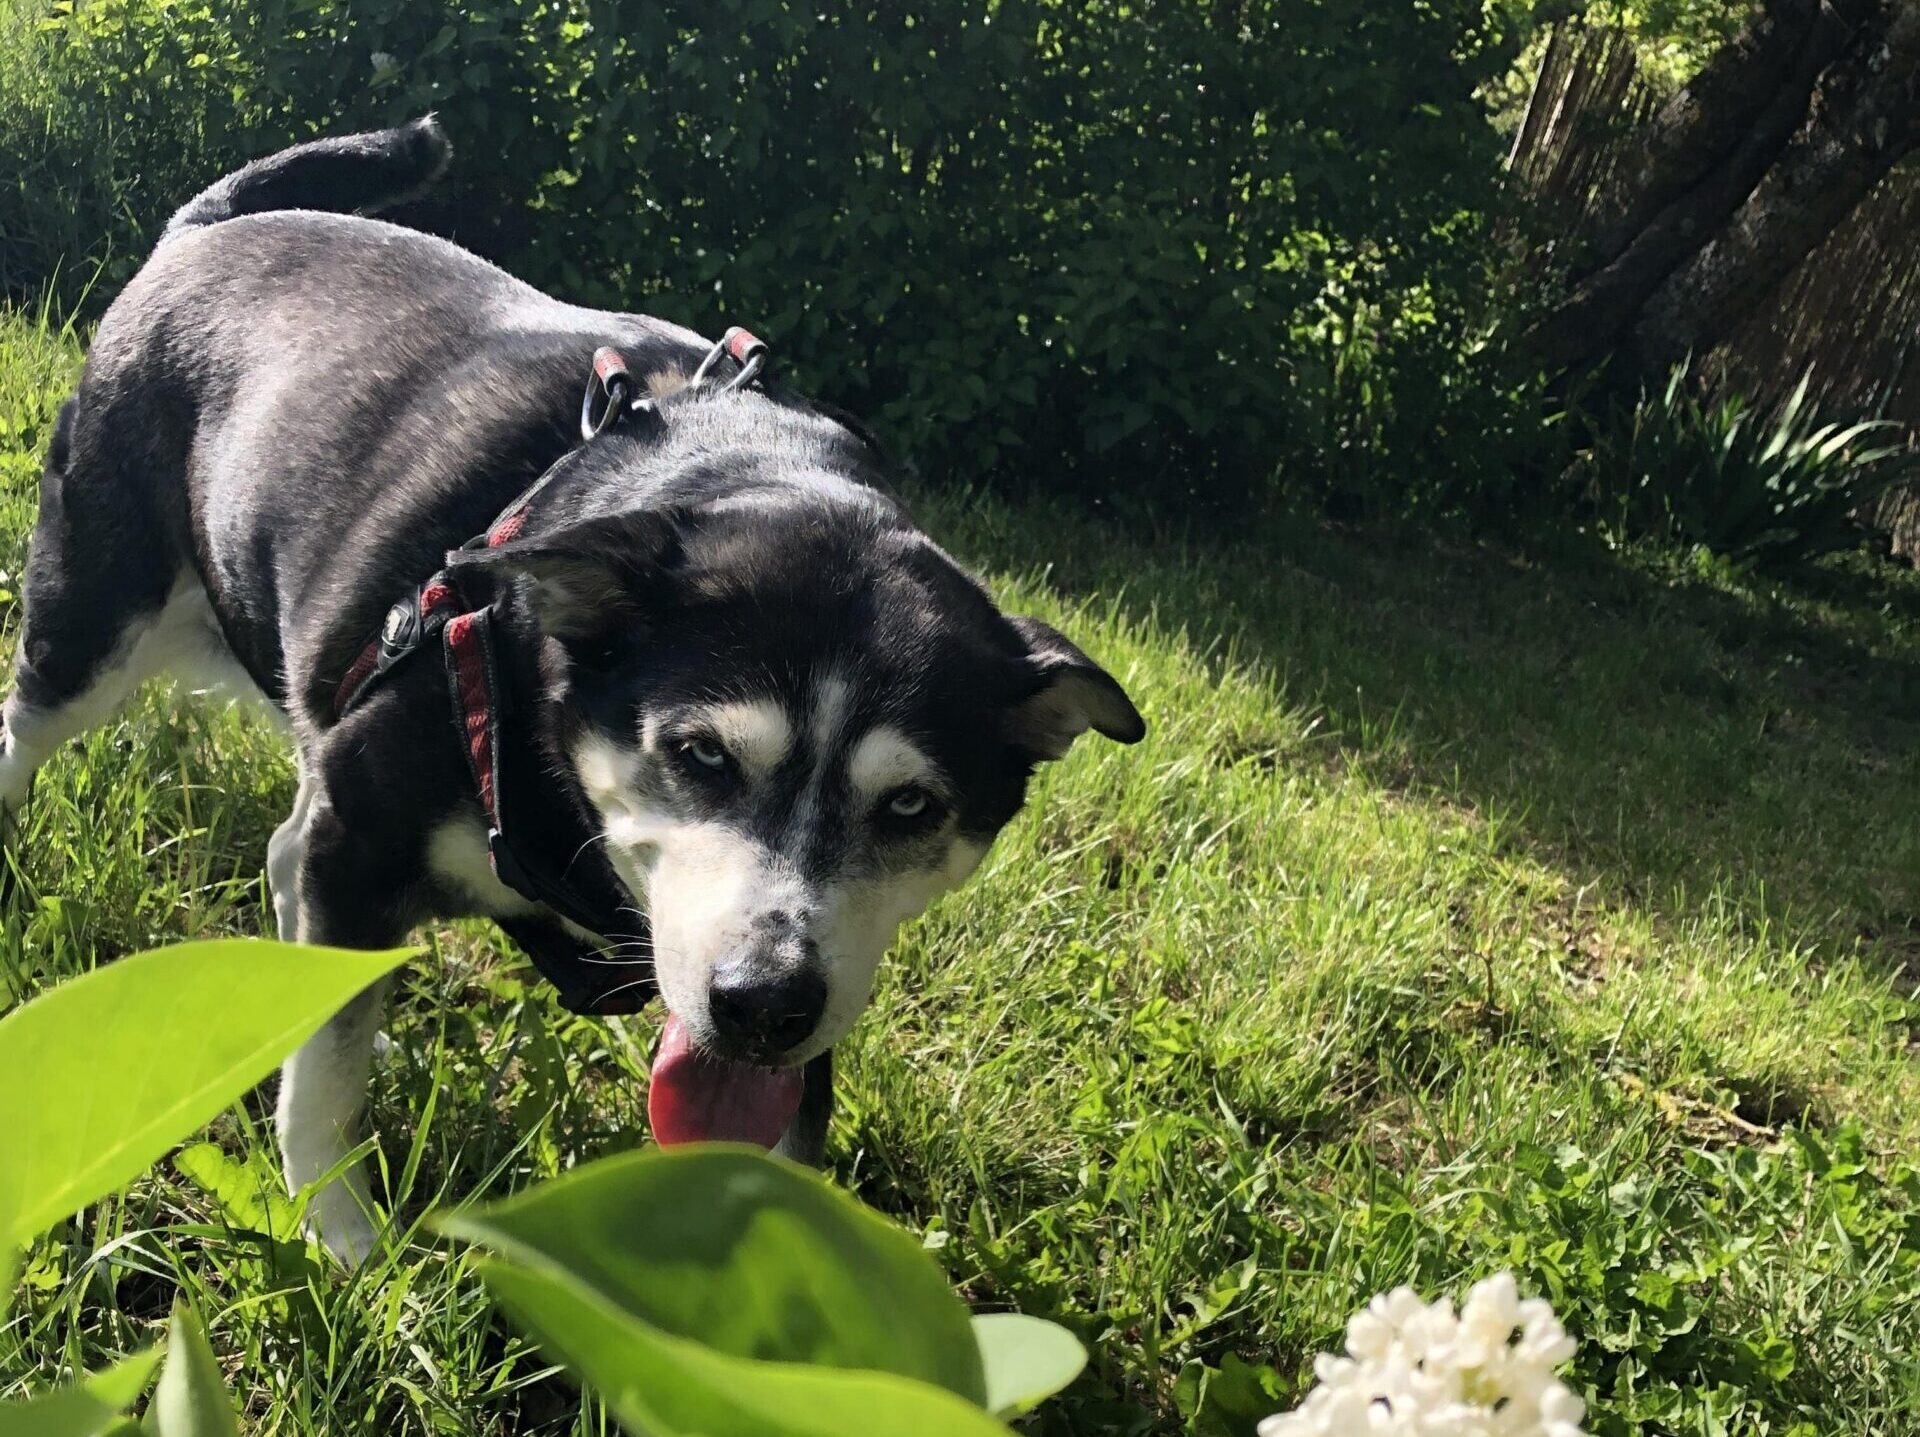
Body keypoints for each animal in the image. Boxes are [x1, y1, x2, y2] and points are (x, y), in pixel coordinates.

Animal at [0, 117, 1136, 1260]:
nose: (762, 1000)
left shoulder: (829, 977)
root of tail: (201, 231)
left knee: (284, 847)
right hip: (91, 604)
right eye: (700, 755)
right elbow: (324, 1079)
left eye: (910, 805)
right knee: (34, 722)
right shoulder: (363, 825)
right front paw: (342, 1239)